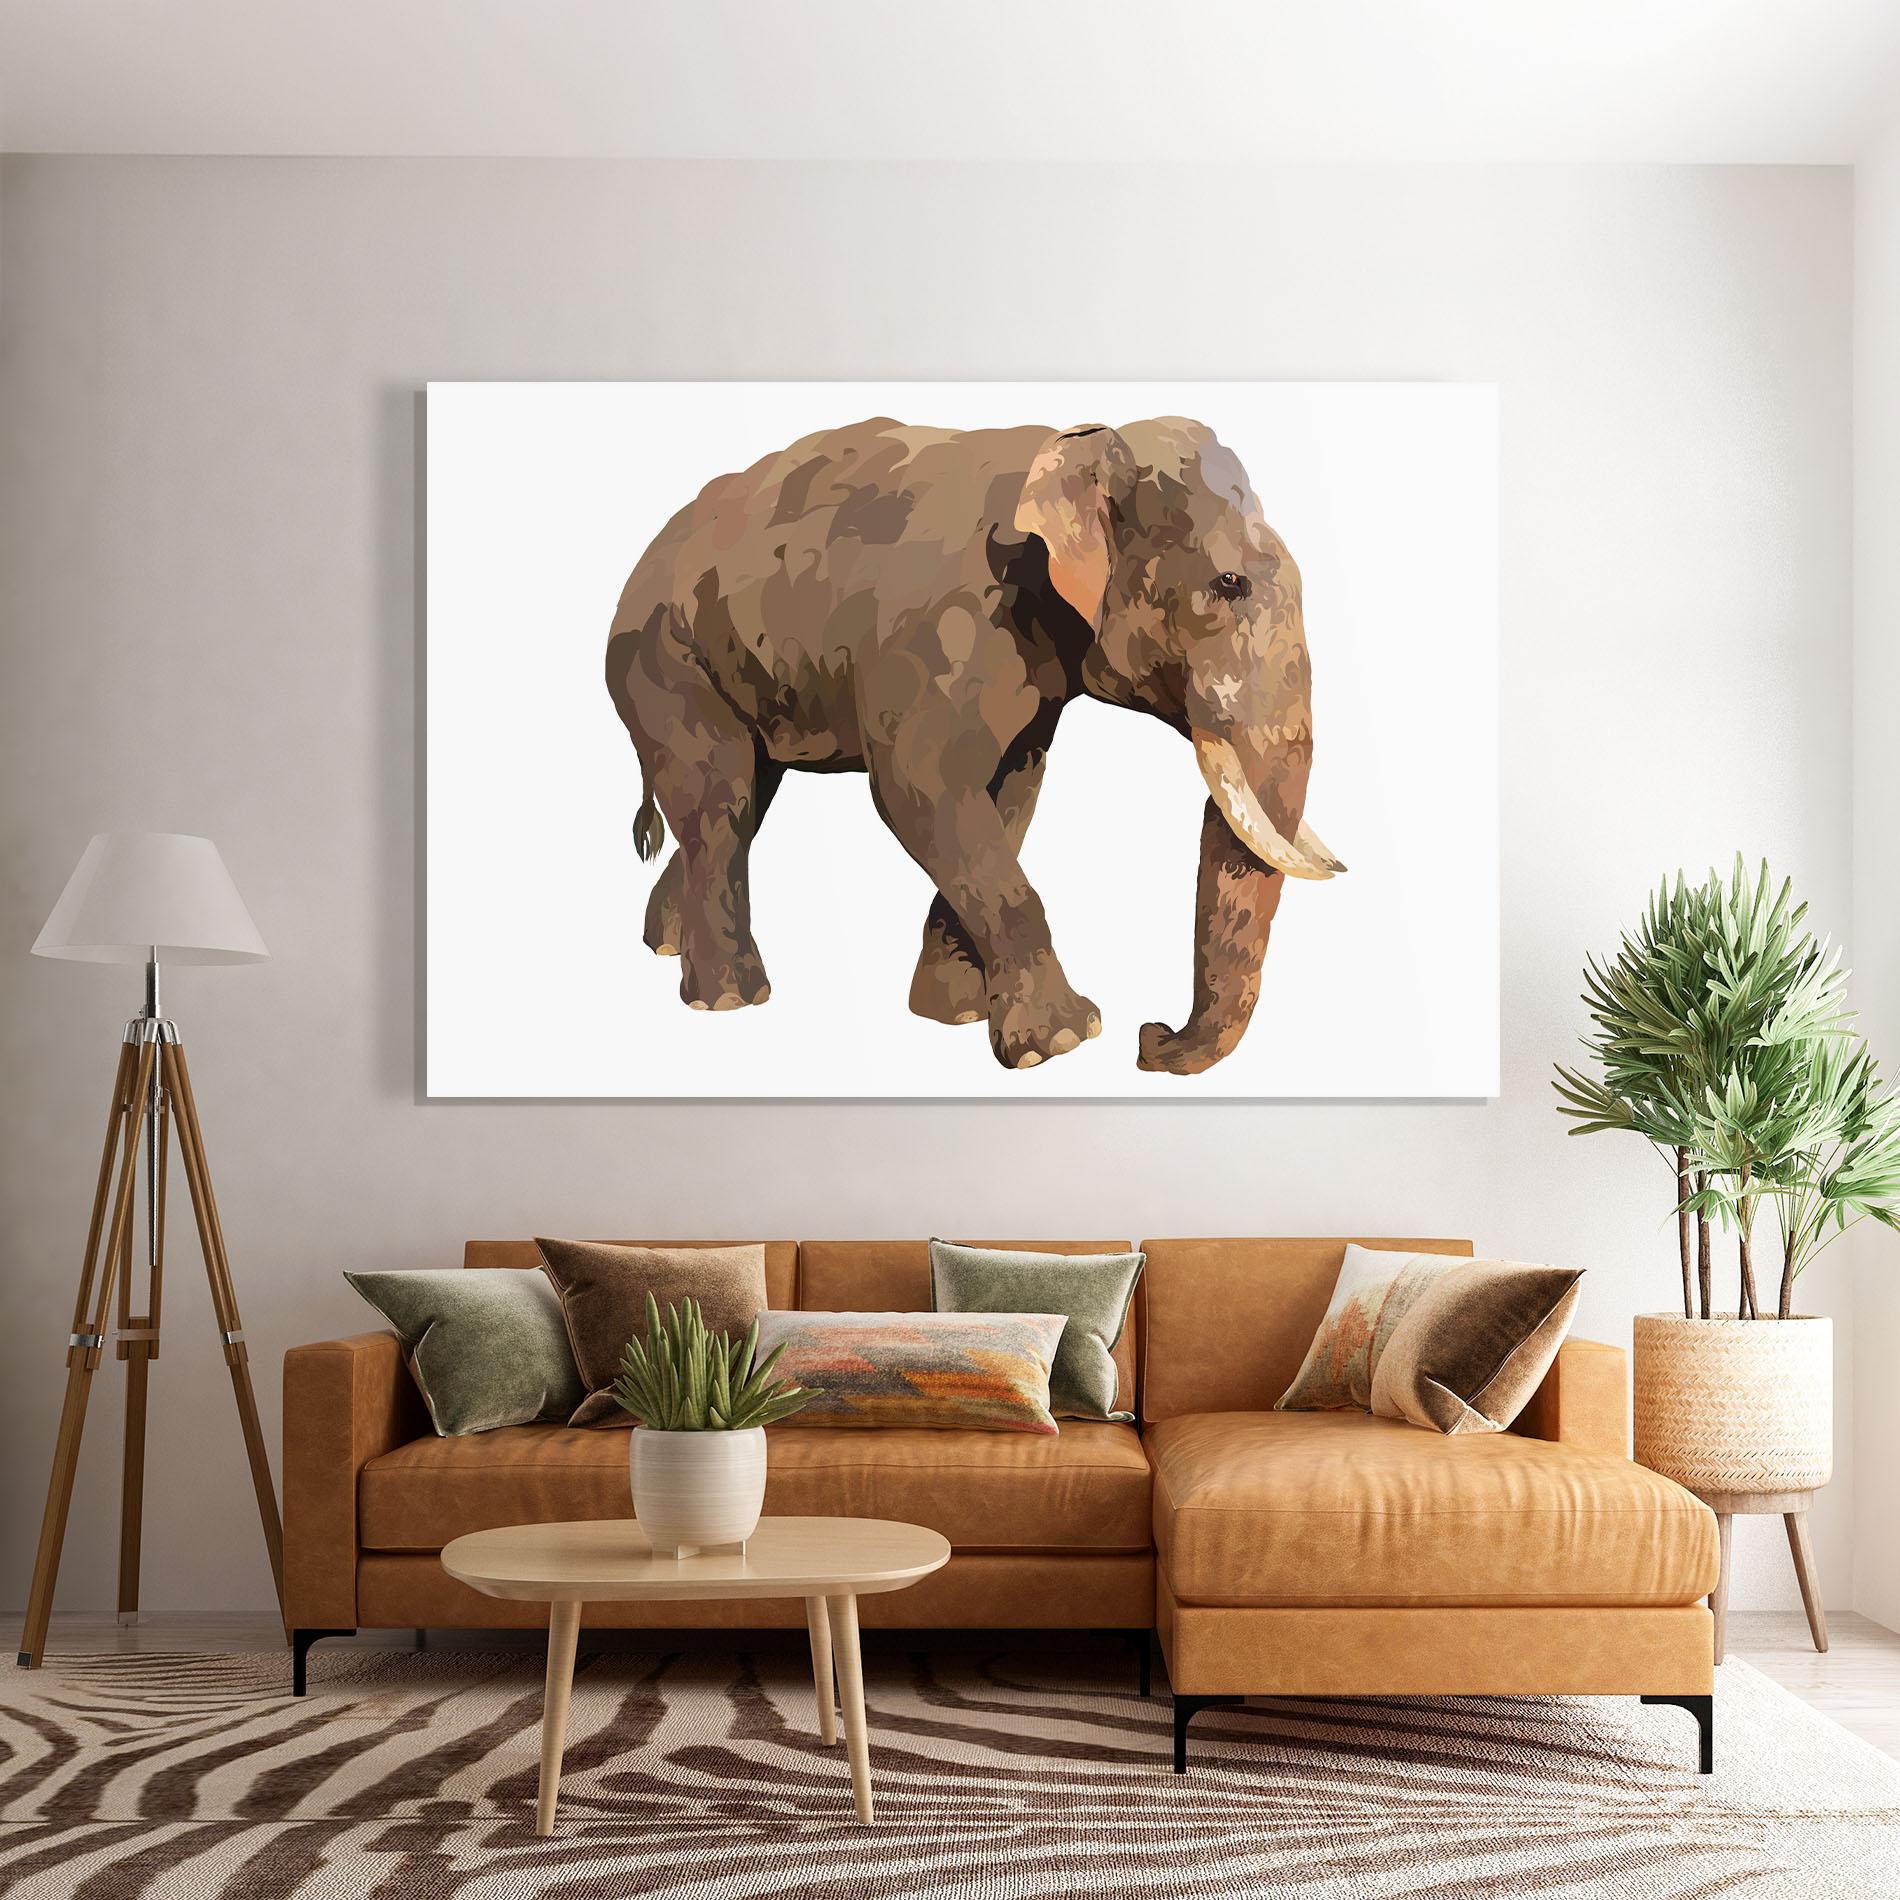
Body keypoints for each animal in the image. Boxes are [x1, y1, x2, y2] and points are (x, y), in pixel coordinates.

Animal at [604, 415, 1342, 1074]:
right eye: (1229, 584)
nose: (1150, 1037)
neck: (1072, 444)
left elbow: (1011, 792)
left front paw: (954, 1016)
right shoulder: (943, 637)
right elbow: (919, 790)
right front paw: (1064, 1042)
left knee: (741, 799)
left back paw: (664, 948)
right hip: (664, 659)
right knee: (720, 801)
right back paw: (730, 1000)